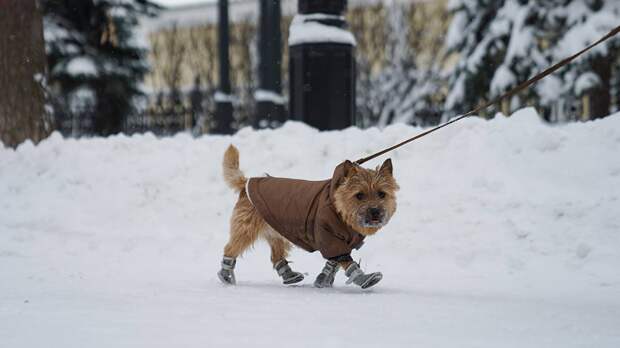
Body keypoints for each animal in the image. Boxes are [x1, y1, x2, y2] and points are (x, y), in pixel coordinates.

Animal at [218, 144, 400, 288]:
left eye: (381, 194)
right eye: (360, 195)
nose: (375, 211)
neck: (338, 208)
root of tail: (246, 182)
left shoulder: (343, 241)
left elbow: (333, 262)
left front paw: (323, 280)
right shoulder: (328, 237)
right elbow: (345, 260)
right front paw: (362, 278)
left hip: (276, 231)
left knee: (276, 256)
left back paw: (290, 275)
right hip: (246, 228)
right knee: (231, 248)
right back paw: (226, 274)